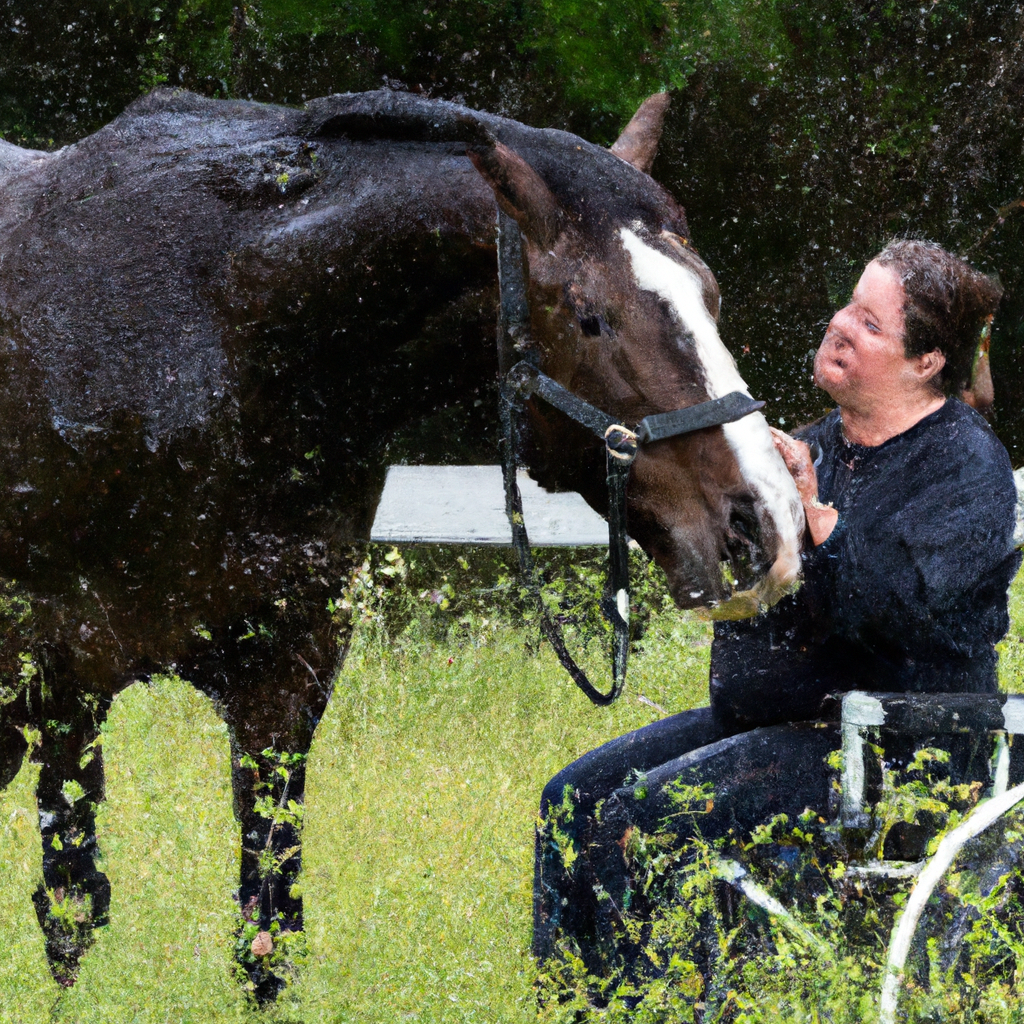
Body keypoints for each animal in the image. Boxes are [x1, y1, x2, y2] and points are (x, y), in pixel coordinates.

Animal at [0, 88, 802, 991]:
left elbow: (268, 930)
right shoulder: (68, 683)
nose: (766, 524)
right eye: (592, 318)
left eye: (711, 296)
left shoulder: (286, 675)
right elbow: (72, 915)